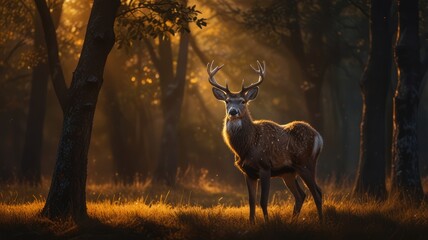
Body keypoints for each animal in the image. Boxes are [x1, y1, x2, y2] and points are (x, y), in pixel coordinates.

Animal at [208, 60, 324, 223]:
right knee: (301, 195)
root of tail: (318, 137)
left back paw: (321, 221)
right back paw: (293, 221)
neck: (246, 147)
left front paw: (267, 222)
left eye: (243, 101)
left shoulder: (265, 166)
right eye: (227, 101)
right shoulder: (248, 172)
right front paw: (251, 223)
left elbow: (263, 200)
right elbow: (251, 201)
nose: (233, 111)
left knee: (317, 193)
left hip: (305, 162)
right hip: (289, 173)